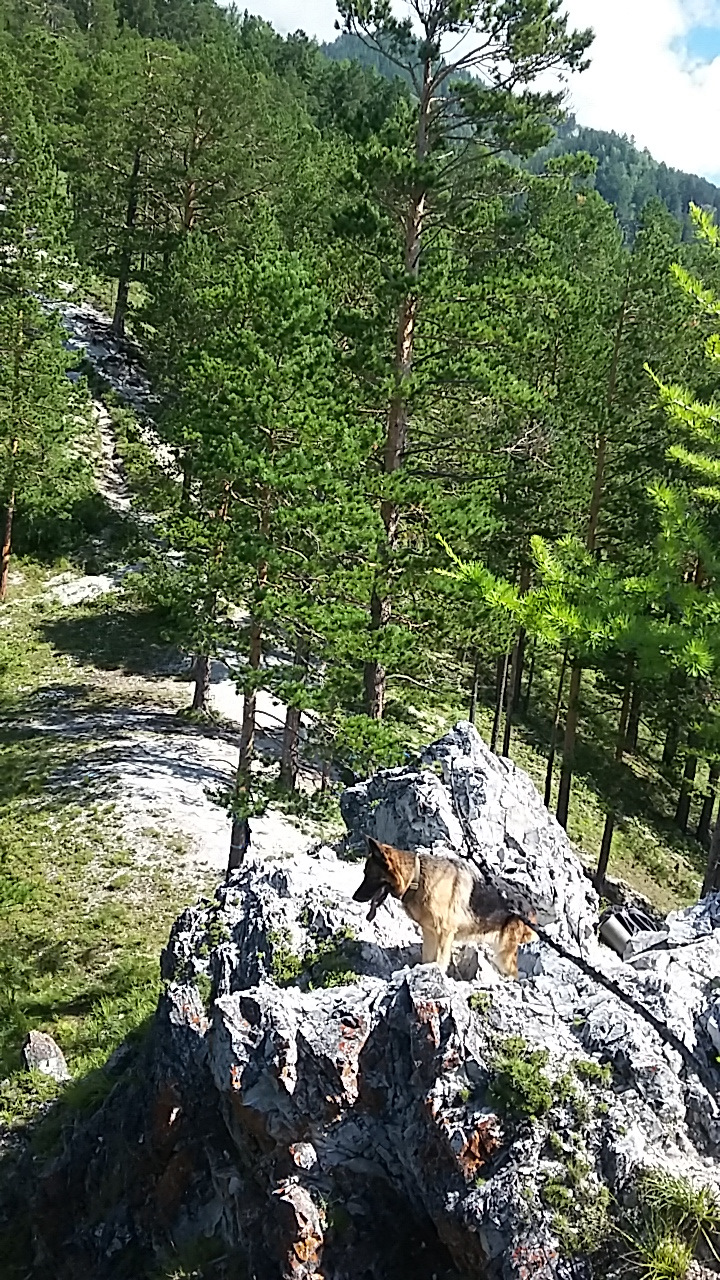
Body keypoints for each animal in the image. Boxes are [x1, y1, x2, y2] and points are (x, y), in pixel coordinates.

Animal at [353, 834, 532, 972]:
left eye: (368, 874)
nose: (354, 897)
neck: (416, 878)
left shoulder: (444, 933)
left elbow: (439, 961)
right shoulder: (430, 933)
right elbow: (427, 959)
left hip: (504, 957)